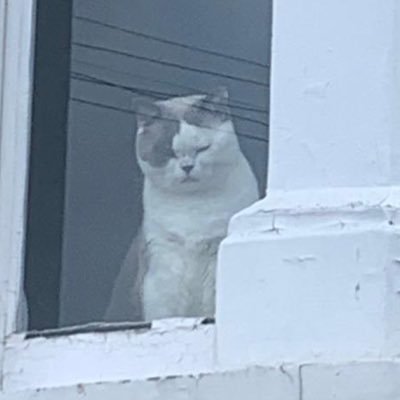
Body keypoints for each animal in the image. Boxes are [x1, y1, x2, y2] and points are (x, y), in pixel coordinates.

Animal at [104, 87, 258, 322]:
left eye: (203, 148)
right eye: (168, 151)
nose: (187, 167)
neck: (192, 207)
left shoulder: (215, 254)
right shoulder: (163, 261)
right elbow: (165, 313)